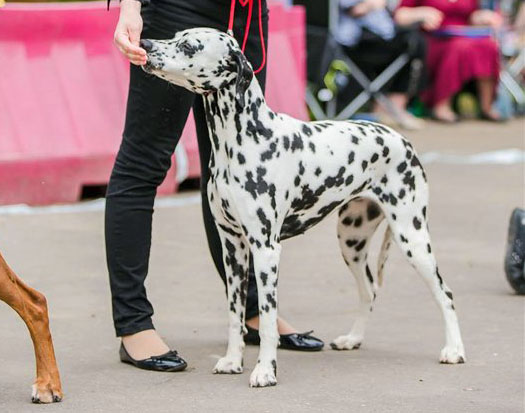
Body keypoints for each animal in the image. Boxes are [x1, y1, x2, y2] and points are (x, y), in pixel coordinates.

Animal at [141, 28, 464, 386]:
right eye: (175, 35)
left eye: (189, 45)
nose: (145, 44)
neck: (242, 139)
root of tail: (400, 138)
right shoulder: (232, 247)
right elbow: (235, 314)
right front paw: (233, 360)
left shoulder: (265, 248)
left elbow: (267, 319)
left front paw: (265, 370)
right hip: (352, 242)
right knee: (369, 291)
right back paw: (353, 339)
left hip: (413, 238)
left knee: (445, 293)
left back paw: (454, 350)